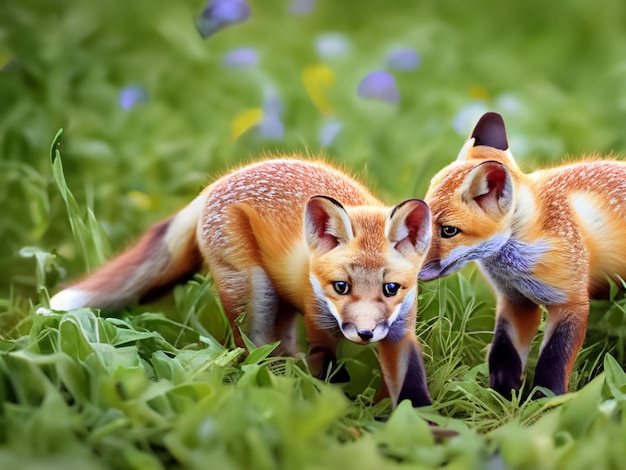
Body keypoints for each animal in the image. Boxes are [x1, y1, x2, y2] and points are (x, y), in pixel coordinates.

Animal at [50, 159, 434, 408]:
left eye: (391, 289)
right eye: (340, 287)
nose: (365, 334)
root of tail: (215, 185)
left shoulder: (399, 332)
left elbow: (411, 385)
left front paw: (417, 424)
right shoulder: (319, 325)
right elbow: (327, 372)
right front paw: (340, 410)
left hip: (279, 297)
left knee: (280, 344)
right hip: (253, 294)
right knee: (251, 351)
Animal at [416, 111, 626, 400]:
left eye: (449, 230)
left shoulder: (570, 303)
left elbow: (553, 360)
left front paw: (547, 402)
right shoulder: (515, 301)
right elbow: (504, 353)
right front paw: (502, 400)